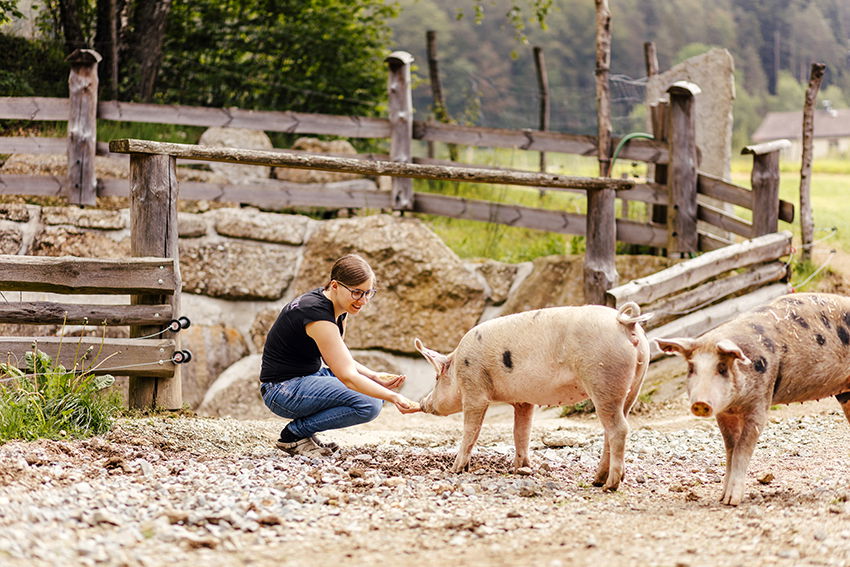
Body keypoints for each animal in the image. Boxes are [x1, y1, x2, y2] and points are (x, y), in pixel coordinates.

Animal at [412, 302, 648, 492]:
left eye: (436, 377)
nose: (423, 402)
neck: (457, 365)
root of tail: (624, 322)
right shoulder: (523, 401)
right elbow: (521, 432)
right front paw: (521, 468)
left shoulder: (474, 389)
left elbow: (471, 430)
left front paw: (455, 469)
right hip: (633, 384)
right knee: (612, 427)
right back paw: (597, 480)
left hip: (602, 378)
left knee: (619, 429)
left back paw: (609, 486)